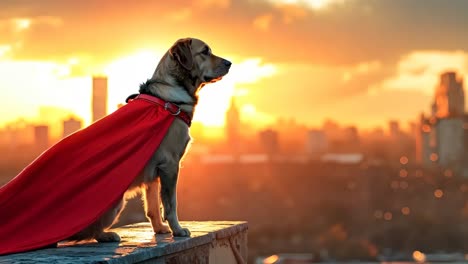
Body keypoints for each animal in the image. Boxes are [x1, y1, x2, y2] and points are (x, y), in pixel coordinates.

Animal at [68, 37, 232, 243]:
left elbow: (153, 205)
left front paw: (160, 229)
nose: (229, 63)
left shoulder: (153, 171)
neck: (169, 95)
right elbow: (170, 204)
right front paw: (178, 230)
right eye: (205, 51)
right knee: (93, 232)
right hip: (116, 201)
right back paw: (107, 235)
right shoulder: (170, 164)